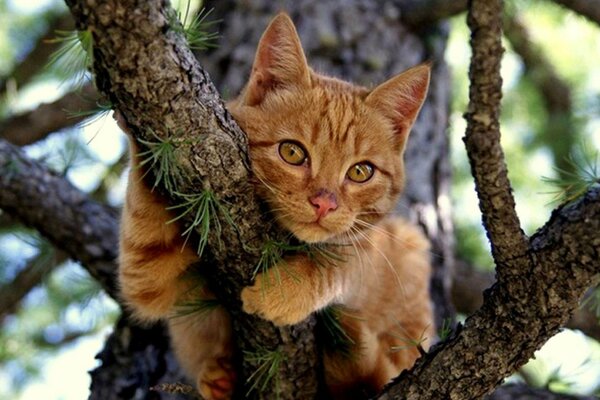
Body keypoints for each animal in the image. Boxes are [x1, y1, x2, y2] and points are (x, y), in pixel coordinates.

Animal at [118, 12, 432, 400]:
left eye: (361, 172)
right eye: (292, 152)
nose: (324, 203)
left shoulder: (375, 248)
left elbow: (345, 258)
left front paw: (282, 290)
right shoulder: (146, 277)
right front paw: (144, 135)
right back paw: (220, 378)